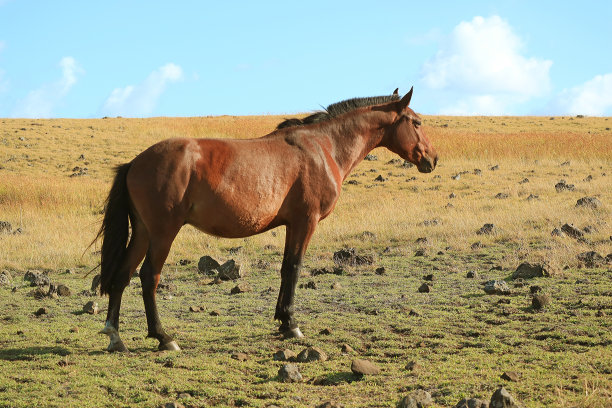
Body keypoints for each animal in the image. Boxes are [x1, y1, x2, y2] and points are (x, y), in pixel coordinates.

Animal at [95, 86, 438, 350]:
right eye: (416, 122)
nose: (432, 159)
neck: (323, 147)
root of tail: (135, 163)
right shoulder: (305, 222)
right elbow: (294, 268)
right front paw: (291, 323)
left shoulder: (292, 225)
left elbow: (286, 269)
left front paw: (282, 322)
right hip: (163, 233)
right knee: (148, 276)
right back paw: (163, 337)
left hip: (142, 232)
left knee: (123, 275)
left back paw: (115, 336)